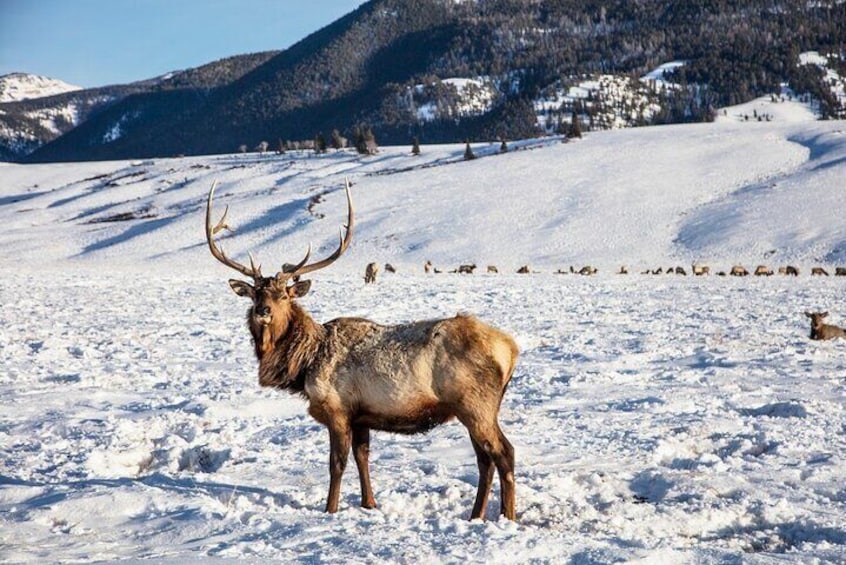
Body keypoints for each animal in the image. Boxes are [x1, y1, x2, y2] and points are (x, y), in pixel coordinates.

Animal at [209, 181, 520, 520]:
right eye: (255, 294)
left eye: (284, 295)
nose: (262, 311)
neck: (304, 364)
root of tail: (511, 349)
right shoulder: (361, 416)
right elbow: (362, 457)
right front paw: (369, 503)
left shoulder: (337, 410)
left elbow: (337, 464)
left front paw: (330, 510)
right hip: (475, 408)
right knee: (484, 459)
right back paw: (476, 514)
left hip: (476, 404)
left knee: (504, 452)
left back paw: (507, 516)